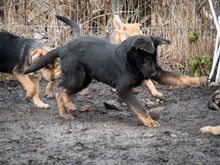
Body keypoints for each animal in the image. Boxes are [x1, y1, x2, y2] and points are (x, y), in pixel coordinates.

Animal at [24, 16, 207, 127]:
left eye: (154, 60)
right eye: (146, 59)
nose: (152, 74)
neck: (130, 62)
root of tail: (63, 47)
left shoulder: (160, 73)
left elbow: (179, 77)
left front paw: (200, 80)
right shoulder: (123, 89)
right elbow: (139, 107)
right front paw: (149, 121)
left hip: (84, 79)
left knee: (61, 90)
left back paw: (64, 114)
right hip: (78, 77)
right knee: (61, 88)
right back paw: (69, 105)